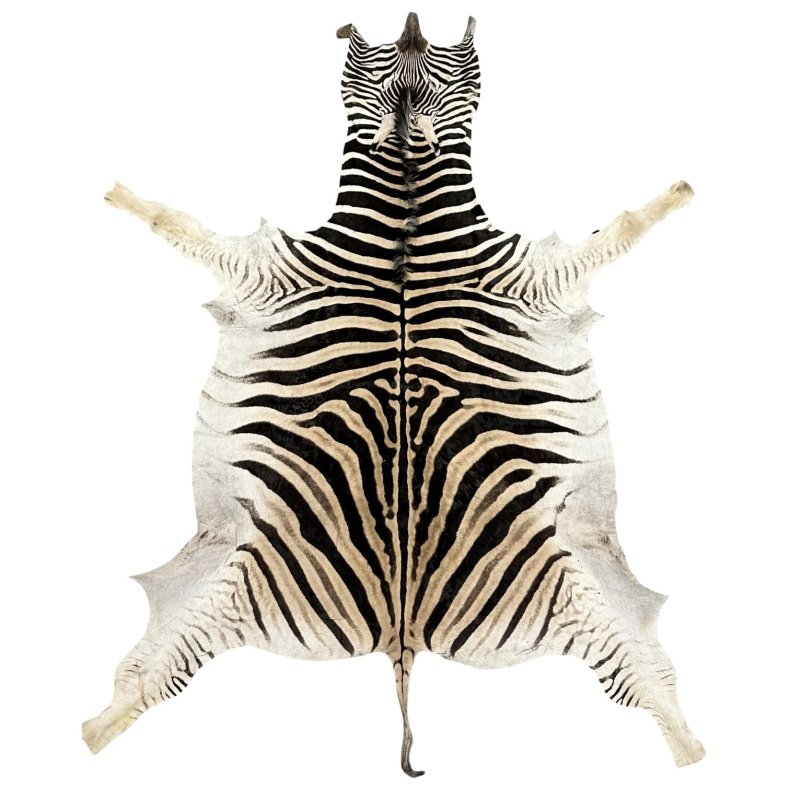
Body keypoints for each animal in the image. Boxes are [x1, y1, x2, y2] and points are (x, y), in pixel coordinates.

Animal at [83, 12, 703, 776]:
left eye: (459, 61)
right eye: (366, 59)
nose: (410, 23)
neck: (406, 215)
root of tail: (401, 636)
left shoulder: (539, 277)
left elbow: (623, 228)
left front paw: (679, 192)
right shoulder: (265, 269)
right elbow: (175, 223)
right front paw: (119, 194)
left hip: (578, 589)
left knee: (651, 681)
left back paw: (693, 746)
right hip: (227, 582)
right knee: (145, 679)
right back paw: (93, 730)